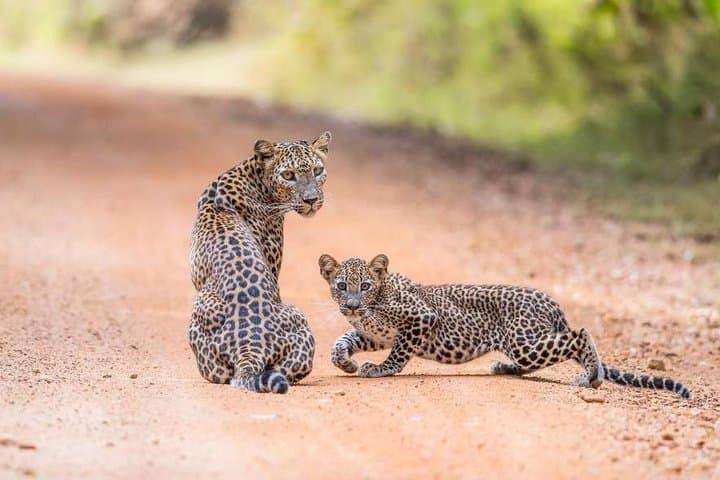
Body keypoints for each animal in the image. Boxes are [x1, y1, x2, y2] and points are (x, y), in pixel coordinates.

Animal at [318, 253, 690, 398]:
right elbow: (344, 339)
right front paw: (345, 361)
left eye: (366, 285)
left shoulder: (421, 318)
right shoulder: (373, 334)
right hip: (525, 345)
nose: (351, 304)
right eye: (341, 285)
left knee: (580, 335)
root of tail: (551, 301)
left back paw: (591, 376)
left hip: (527, 342)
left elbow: (398, 352)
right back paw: (505, 368)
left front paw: (380, 369)